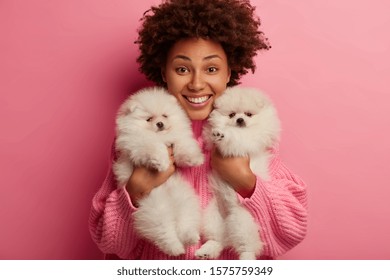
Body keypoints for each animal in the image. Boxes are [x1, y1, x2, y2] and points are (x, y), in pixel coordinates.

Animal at [112, 87, 204, 256]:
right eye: (149, 119)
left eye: (165, 116)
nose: (160, 124)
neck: (162, 137)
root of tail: (171, 209)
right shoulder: (138, 141)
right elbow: (153, 145)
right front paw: (162, 162)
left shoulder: (177, 138)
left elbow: (183, 145)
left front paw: (194, 158)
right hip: (155, 210)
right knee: (164, 232)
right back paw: (175, 248)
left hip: (185, 202)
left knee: (185, 222)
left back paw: (190, 237)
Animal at [195, 86, 280, 260]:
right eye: (232, 114)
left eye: (248, 114)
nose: (240, 120)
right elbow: (210, 136)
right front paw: (216, 133)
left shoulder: (249, 139)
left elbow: (236, 138)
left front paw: (224, 135)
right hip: (212, 216)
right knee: (218, 239)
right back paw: (207, 250)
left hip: (242, 220)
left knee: (247, 244)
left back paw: (246, 256)